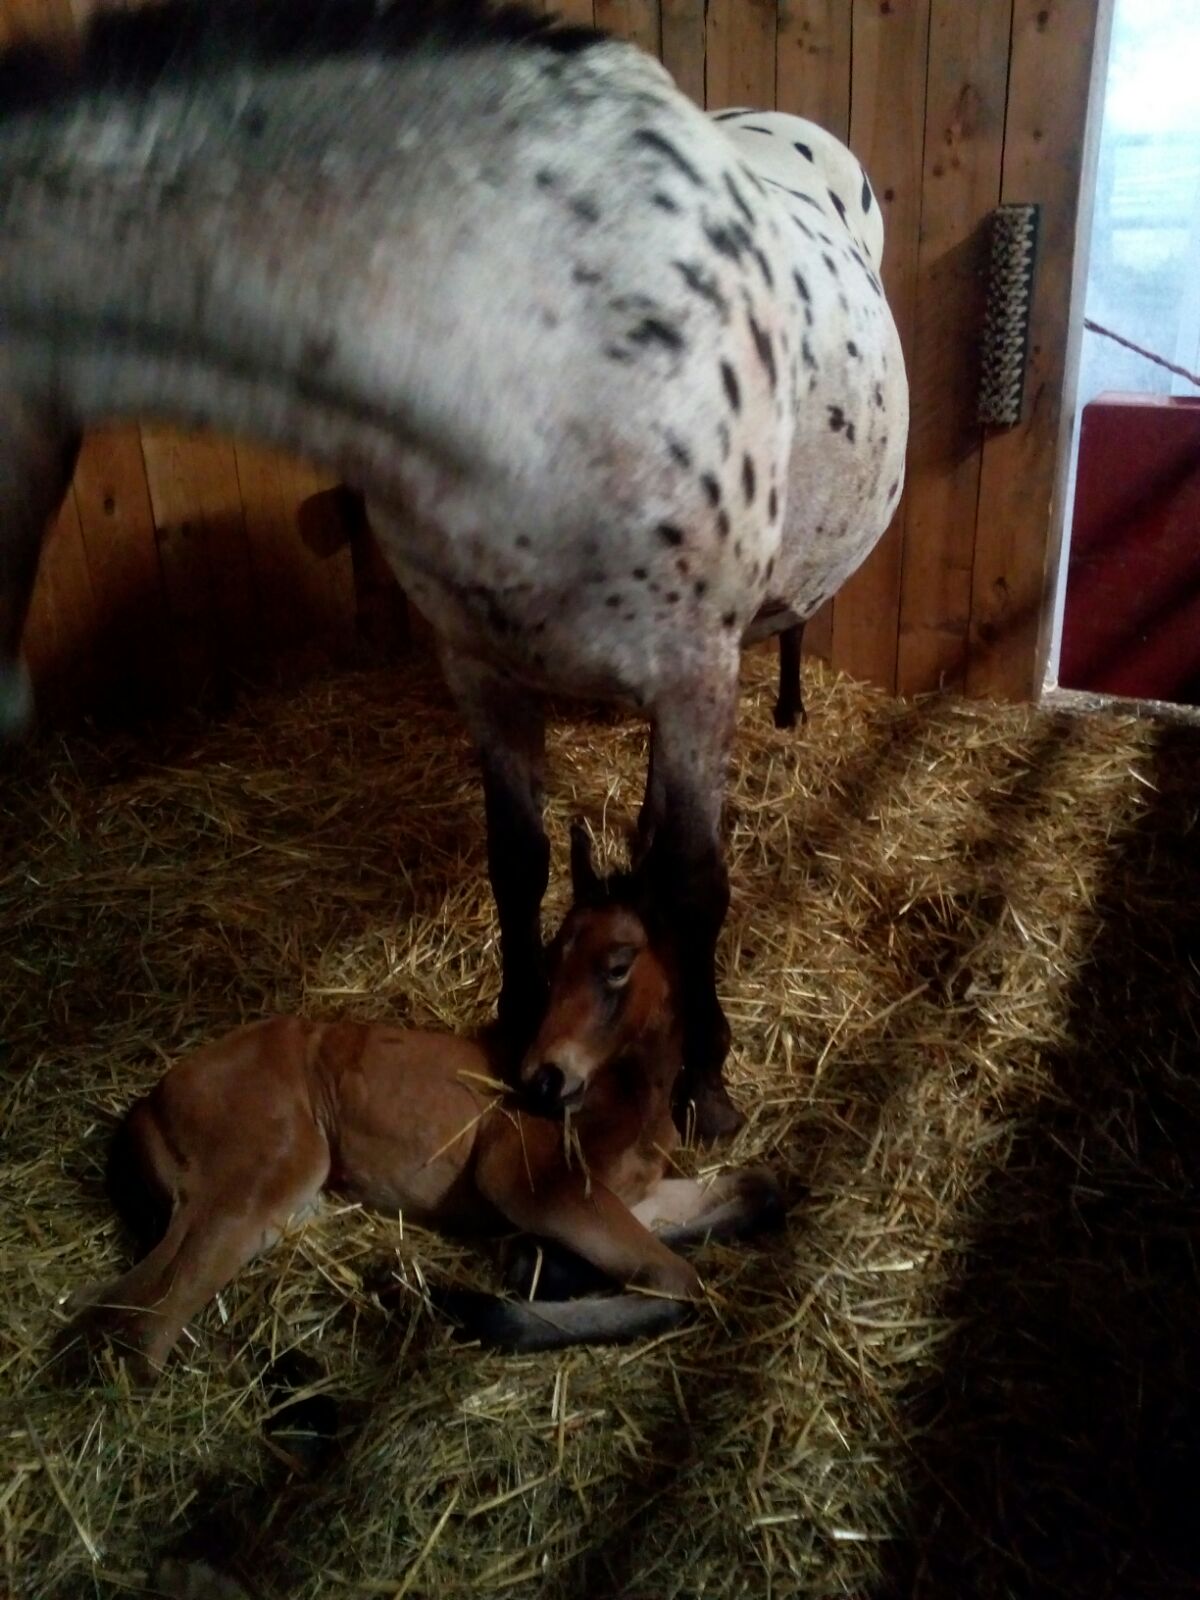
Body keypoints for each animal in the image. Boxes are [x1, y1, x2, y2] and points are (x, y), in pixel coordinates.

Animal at [0, 6, 902, 1145]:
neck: (536, 350)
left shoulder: (695, 674)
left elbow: (695, 885)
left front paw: (705, 1080)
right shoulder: (479, 665)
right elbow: (517, 856)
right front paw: (515, 1020)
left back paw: (788, 702)